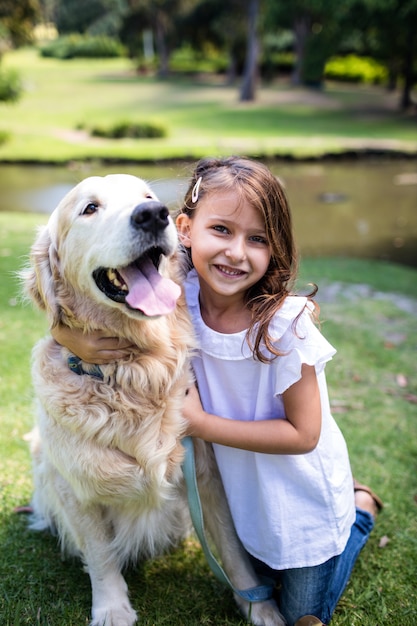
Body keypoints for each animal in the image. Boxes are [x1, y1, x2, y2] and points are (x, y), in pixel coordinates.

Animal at [22, 174, 282, 624]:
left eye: (147, 196)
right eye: (90, 208)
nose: (152, 215)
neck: (136, 370)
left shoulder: (206, 472)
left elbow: (233, 549)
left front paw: (259, 604)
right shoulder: (74, 485)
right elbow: (100, 553)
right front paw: (112, 608)